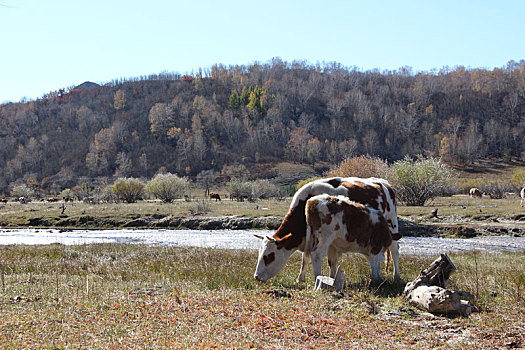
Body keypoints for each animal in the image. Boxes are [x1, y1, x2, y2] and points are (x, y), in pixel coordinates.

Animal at [254, 176, 402, 284]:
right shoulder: (318, 240)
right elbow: (312, 259)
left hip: (393, 224)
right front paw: (302, 279)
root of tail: (384, 184)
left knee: (394, 251)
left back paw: (397, 277)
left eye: (268, 256)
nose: (256, 277)